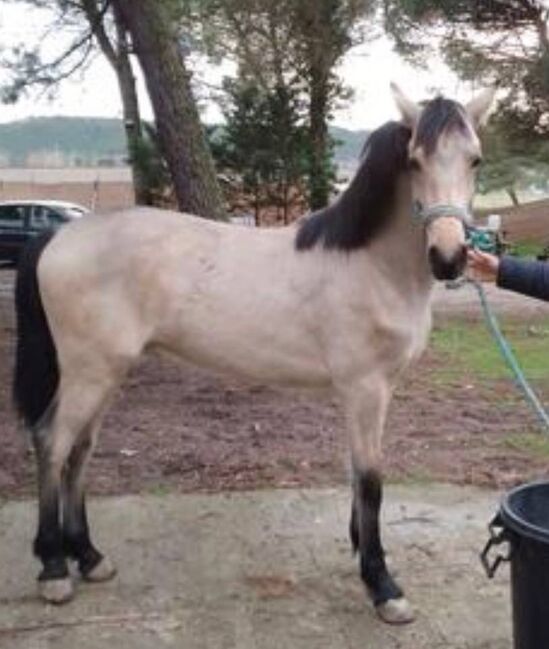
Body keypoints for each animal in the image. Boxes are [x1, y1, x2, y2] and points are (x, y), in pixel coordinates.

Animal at [11, 83, 492, 620]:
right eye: (414, 160)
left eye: (475, 159)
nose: (449, 258)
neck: (368, 262)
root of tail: (59, 235)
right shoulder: (365, 388)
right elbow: (370, 479)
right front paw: (382, 584)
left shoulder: (370, 392)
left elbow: (355, 472)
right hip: (87, 372)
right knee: (52, 442)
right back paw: (54, 568)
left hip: (106, 373)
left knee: (80, 451)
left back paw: (89, 556)